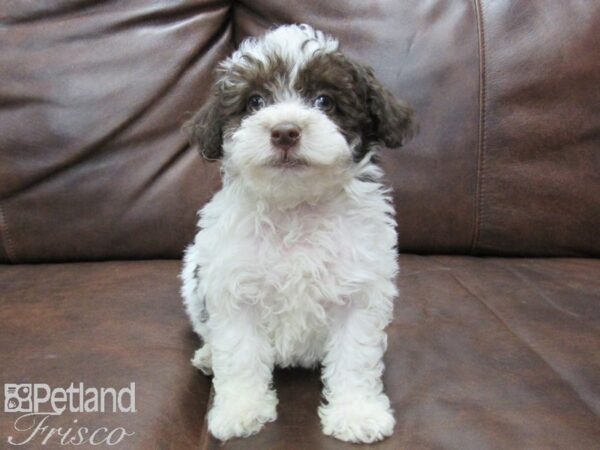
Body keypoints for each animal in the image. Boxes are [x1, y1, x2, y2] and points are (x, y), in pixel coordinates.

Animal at [179, 23, 412, 442]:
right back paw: (207, 355)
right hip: (192, 276)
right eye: (255, 102)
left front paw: (357, 412)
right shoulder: (233, 287)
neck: (296, 207)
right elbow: (238, 353)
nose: (285, 132)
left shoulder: (360, 291)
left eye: (324, 101)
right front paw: (240, 409)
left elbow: (355, 355)